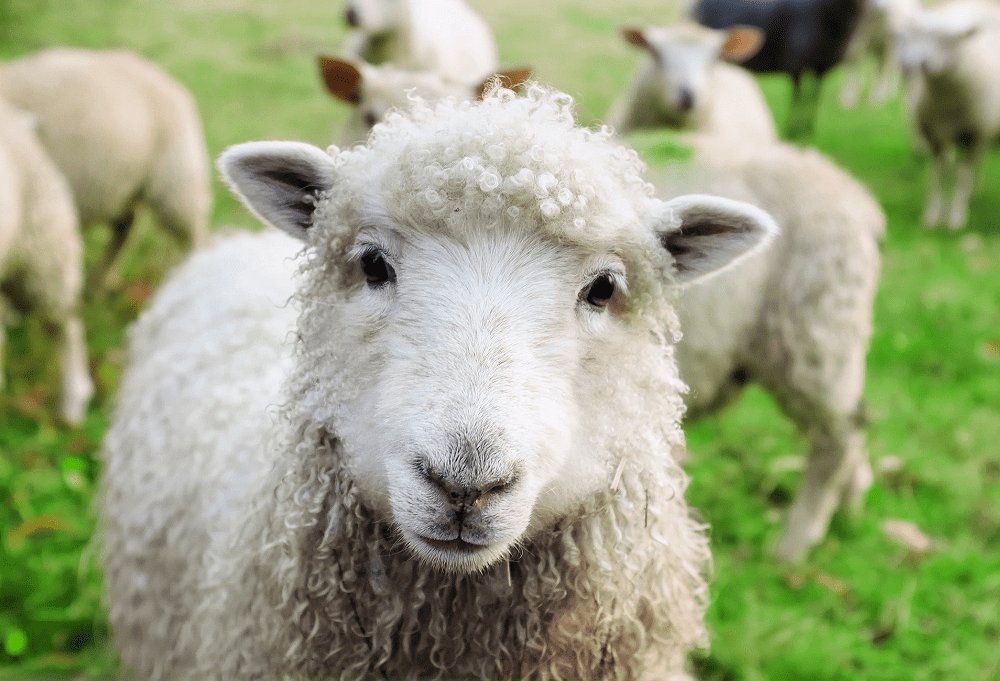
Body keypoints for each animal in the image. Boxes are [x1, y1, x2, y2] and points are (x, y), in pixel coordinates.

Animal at [691, 0, 867, 137]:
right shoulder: (796, 64)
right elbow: (799, 98)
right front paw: (792, 131)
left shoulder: (821, 69)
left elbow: (813, 99)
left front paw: (807, 131)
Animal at [894, 0, 1000, 229]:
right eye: (913, 36)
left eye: (949, 40)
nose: (918, 63)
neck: (947, 102)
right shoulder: (934, 138)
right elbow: (938, 176)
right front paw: (933, 216)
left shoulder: (973, 136)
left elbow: (962, 177)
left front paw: (956, 217)